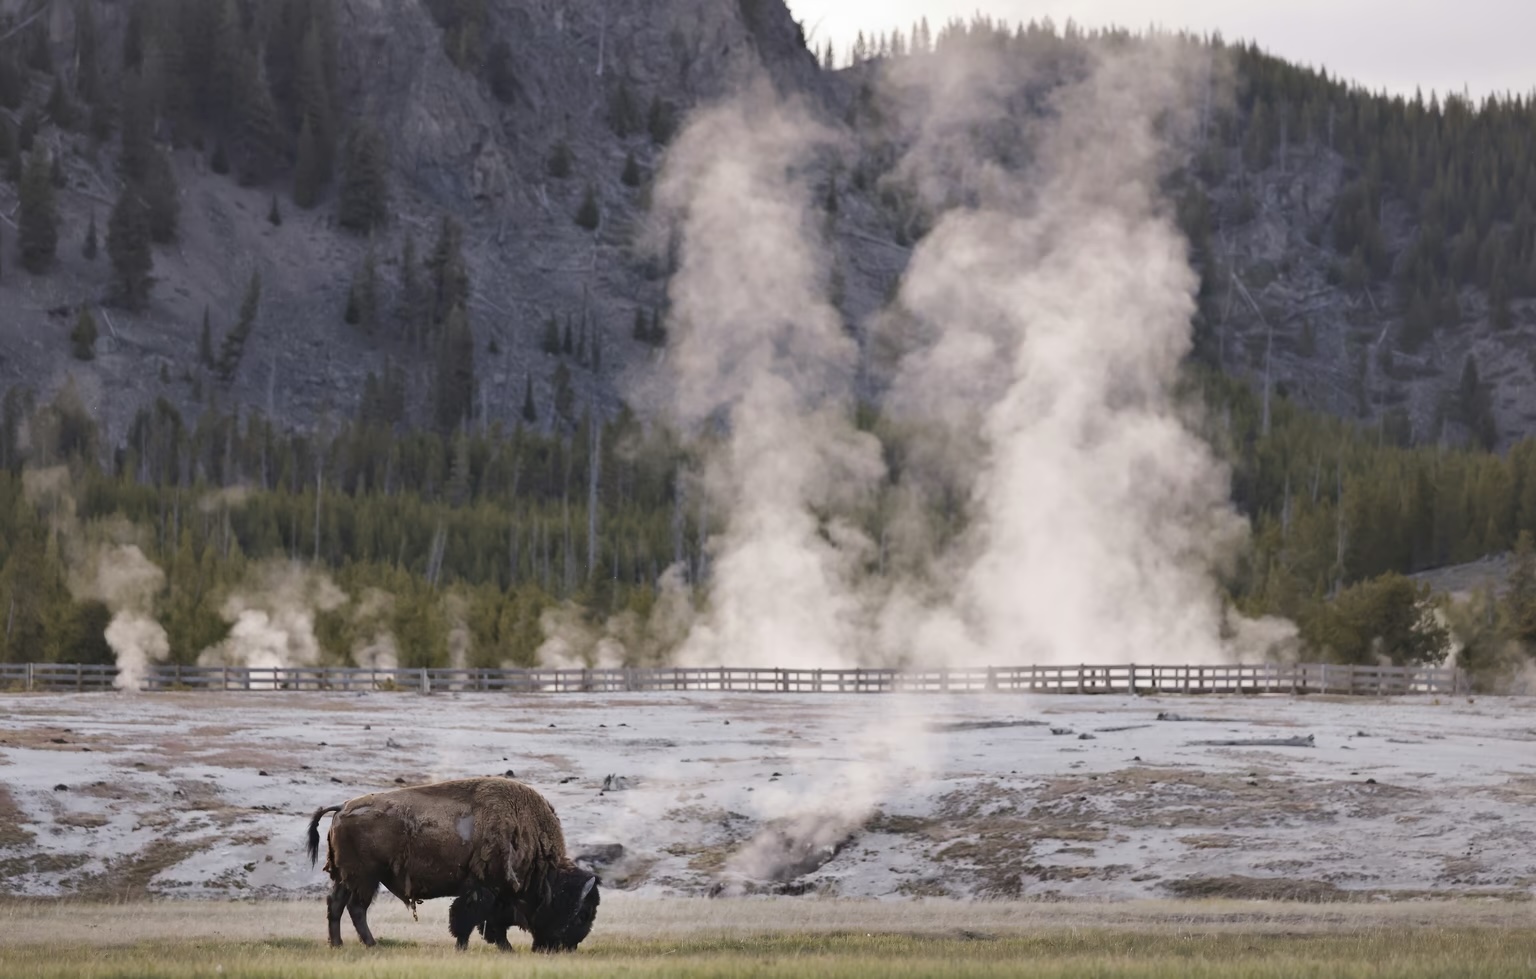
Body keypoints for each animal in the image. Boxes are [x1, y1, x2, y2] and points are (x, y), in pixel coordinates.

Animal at [306, 776, 599, 952]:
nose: (568, 947)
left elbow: (486, 924)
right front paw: (466, 947)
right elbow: (470, 920)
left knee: (336, 904)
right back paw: (371, 944)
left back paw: (337, 944)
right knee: (356, 908)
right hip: (366, 878)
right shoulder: (485, 890)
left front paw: (502, 948)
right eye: (582, 914)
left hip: (346, 877)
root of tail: (342, 807)